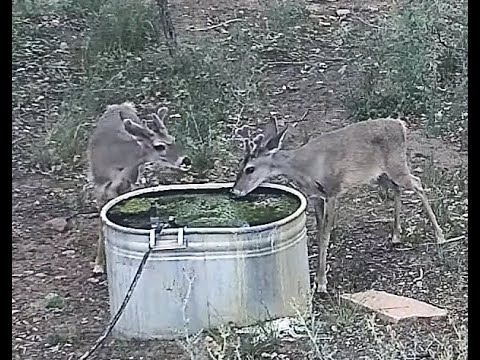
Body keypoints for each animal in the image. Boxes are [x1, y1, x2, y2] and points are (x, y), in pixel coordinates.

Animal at [88, 102, 191, 274]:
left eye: (173, 139)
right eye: (159, 146)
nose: (186, 161)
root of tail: (120, 105)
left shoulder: (128, 182)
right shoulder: (99, 187)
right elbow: (101, 224)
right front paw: (98, 264)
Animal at [232, 117, 446, 292]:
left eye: (250, 169)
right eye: (240, 166)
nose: (235, 191)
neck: (306, 168)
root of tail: (400, 125)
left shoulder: (333, 191)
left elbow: (325, 236)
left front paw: (321, 283)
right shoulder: (316, 197)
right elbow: (319, 233)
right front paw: (318, 279)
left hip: (396, 164)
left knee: (417, 183)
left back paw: (440, 236)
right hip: (379, 174)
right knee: (397, 188)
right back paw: (395, 236)